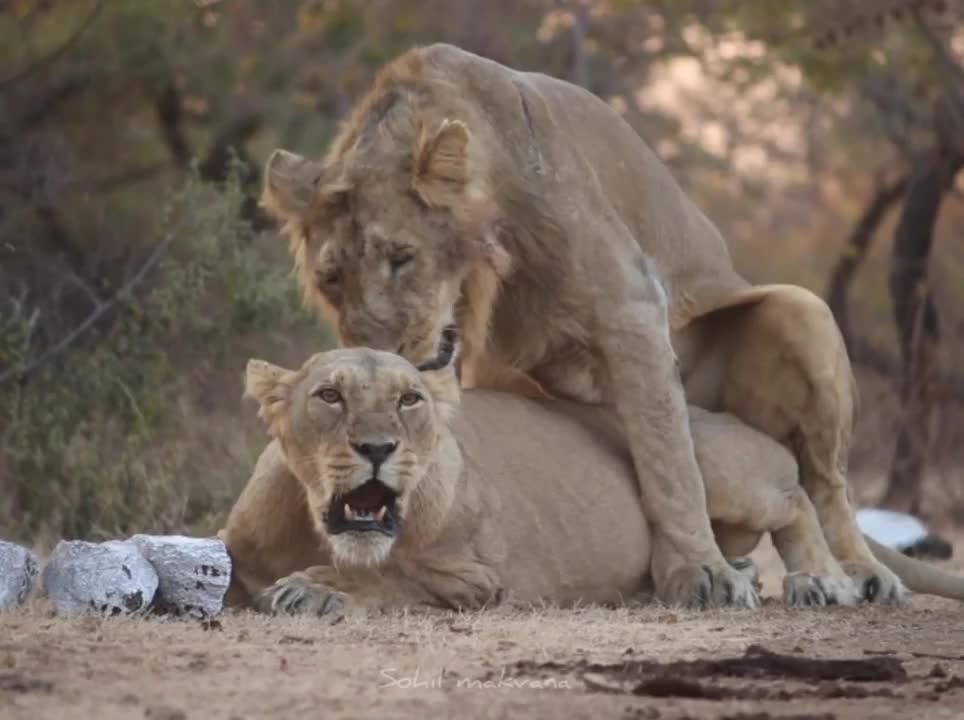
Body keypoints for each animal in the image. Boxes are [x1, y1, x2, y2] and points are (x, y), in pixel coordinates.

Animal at [220, 348, 964, 612]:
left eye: (410, 400)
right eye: (329, 396)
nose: (378, 448)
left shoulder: (479, 580)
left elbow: (390, 578)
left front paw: (315, 591)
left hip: (709, 462)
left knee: (799, 498)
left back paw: (822, 582)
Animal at [260, 43, 900, 608]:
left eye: (402, 257)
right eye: (331, 278)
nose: (379, 352)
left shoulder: (631, 307)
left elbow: (669, 461)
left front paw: (701, 571)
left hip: (802, 310)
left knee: (822, 483)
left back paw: (845, 575)